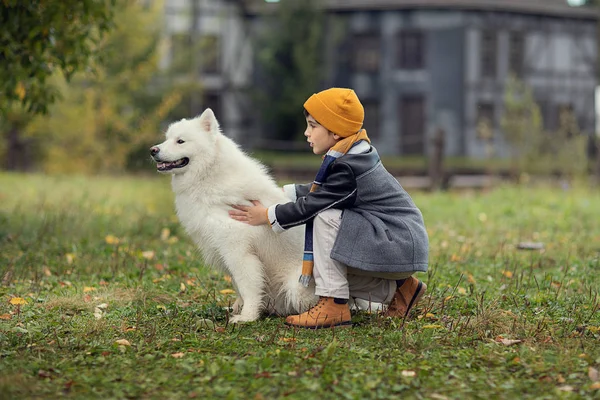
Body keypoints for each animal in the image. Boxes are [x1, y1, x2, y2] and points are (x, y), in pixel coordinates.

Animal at [151, 108, 318, 322]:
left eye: (180, 141)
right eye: (167, 139)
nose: (153, 150)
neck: (209, 174)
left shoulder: (237, 250)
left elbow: (248, 286)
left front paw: (247, 317)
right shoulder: (224, 251)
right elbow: (238, 286)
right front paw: (238, 308)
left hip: (296, 286)